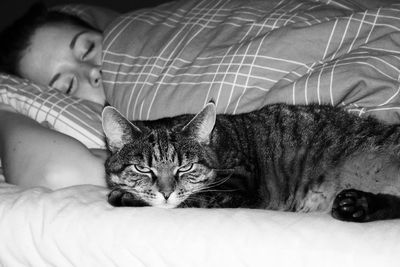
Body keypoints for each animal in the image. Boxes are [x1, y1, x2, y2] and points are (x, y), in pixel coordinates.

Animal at [101, 101, 400, 223]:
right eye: (142, 168)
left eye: (185, 167)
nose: (165, 191)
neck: (219, 144)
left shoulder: (240, 188)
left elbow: (194, 198)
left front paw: (124, 196)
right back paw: (357, 205)